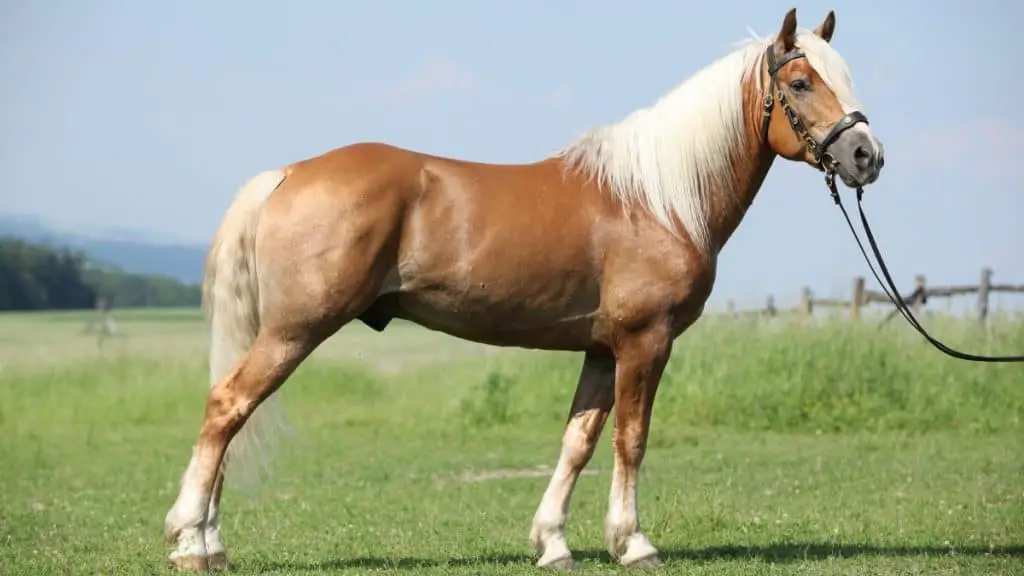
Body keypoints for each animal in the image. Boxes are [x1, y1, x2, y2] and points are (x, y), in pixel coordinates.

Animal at [163, 7, 884, 569]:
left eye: (845, 77)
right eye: (800, 81)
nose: (866, 157)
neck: (658, 198)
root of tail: (286, 174)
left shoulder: (601, 349)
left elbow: (578, 441)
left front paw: (553, 543)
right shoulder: (644, 342)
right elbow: (631, 438)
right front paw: (634, 543)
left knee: (232, 415)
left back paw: (209, 541)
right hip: (295, 330)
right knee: (227, 406)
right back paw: (190, 541)